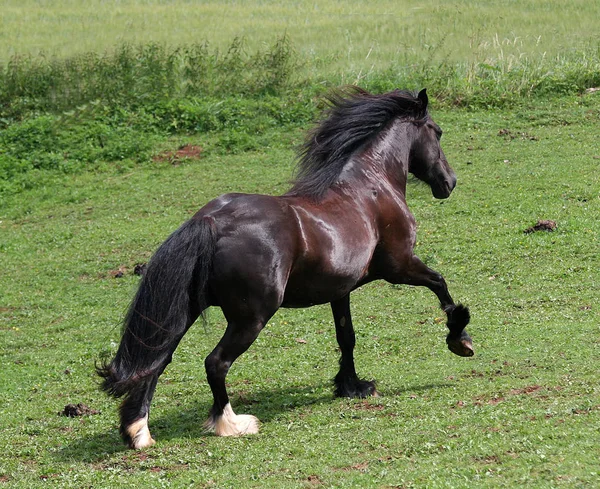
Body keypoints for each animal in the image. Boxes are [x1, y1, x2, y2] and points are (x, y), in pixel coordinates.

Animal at [97, 86, 474, 446]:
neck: (370, 186)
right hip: (251, 317)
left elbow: (346, 337)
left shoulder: (341, 290)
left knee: (157, 359)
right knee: (215, 363)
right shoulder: (399, 266)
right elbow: (440, 284)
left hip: (187, 311)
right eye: (437, 132)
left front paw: (351, 386)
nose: (450, 182)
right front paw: (460, 339)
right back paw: (232, 424)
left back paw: (139, 432)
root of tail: (211, 220)